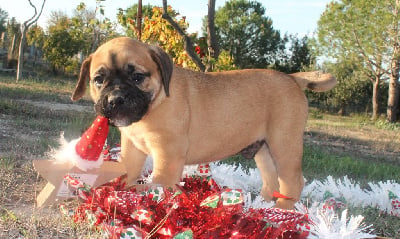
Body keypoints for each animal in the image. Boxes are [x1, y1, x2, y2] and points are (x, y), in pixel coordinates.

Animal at [71, 36, 334, 208]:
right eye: (99, 80)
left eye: (137, 77)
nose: (115, 99)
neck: (154, 105)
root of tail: (292, 78)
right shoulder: (133, 148)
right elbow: (128, 171)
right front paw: (119, 190)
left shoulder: (167, 155)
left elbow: (156, 183)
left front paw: (147, 200)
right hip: (265, 149)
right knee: (272, 180)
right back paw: (262, 207)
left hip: (284, 145)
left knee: (293, 183)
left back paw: (282, 214)